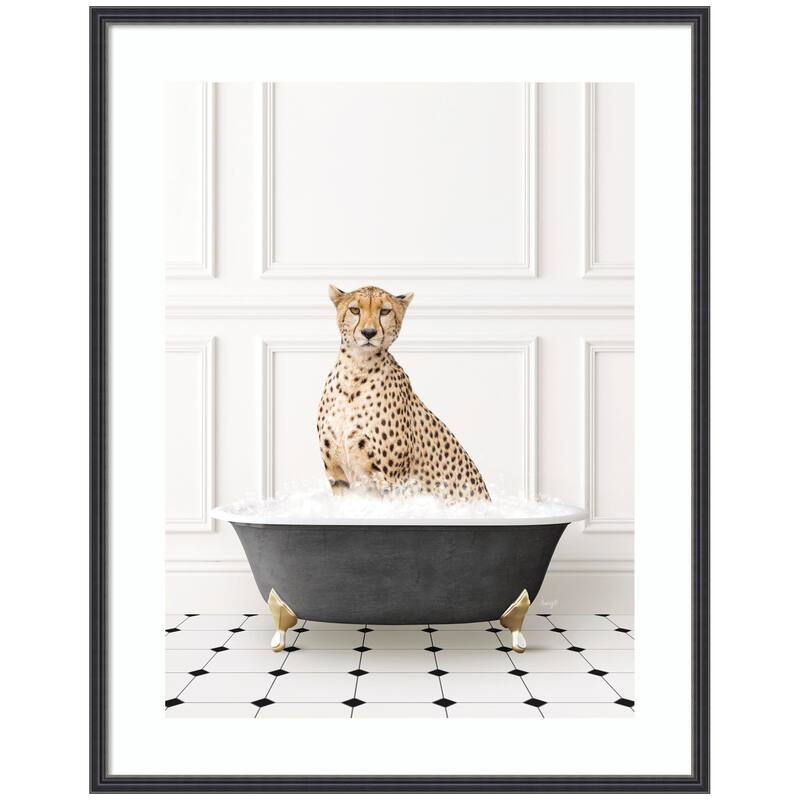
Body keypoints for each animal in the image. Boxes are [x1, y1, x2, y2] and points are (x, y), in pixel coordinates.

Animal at [317, 285, 490, 502]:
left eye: (385, 311)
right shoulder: (338, 476)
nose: (368, 332)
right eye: (355, 310)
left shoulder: (390, 481)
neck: (356, 371)